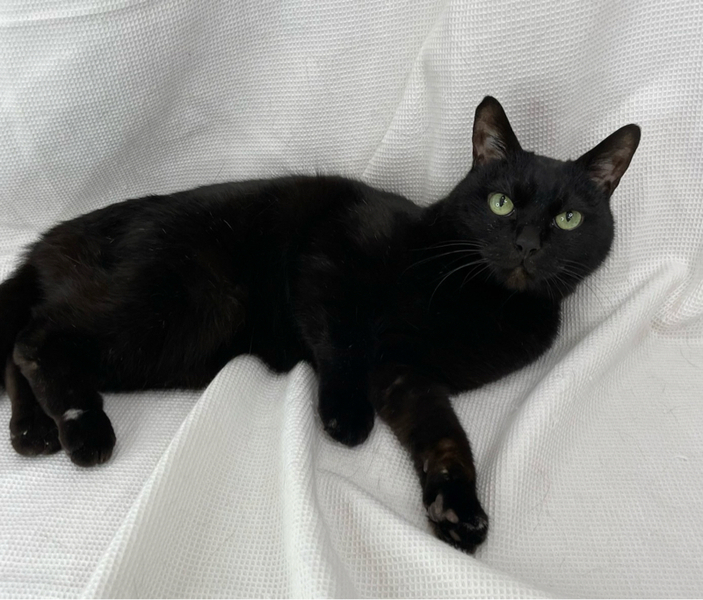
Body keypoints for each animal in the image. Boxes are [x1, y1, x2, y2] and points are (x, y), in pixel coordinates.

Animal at [0, 97, 640, 553]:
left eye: (568, 218)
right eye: (501, 203)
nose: (528, 244)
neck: (485, 302)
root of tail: (51, 239)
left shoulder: (407, 371)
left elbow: (443, 433)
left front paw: (458, 507)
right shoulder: (330, 253)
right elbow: (343, 340)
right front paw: (345, 416)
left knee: (23, 345)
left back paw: (32, 431)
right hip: (186, 303)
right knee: (37, 337)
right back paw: (82, 428)